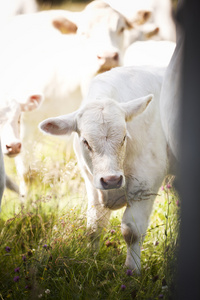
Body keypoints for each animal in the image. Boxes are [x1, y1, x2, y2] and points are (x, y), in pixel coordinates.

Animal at [38, 66, 170, 274]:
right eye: (85, 141)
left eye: (124, 137)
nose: (111, 180)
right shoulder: (92, 184)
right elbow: (94, 227)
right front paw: (91, 258)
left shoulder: (146, 181)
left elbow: (131, 231)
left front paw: (132, 271)